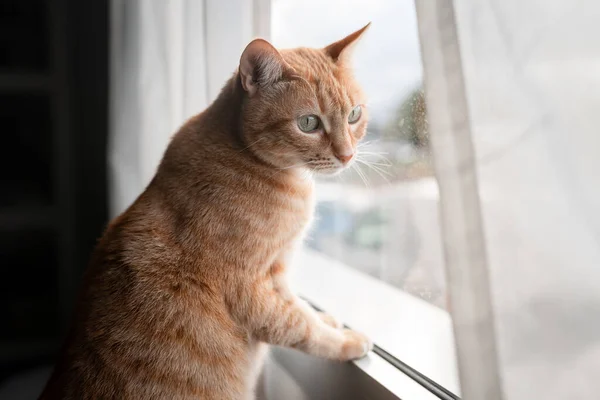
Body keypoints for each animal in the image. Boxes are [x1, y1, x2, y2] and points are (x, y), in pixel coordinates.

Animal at [41, 23, 370, 398]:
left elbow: (299, 307)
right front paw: (347, 341)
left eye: (354, 115)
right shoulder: (249, 290)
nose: (347, 155)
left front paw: (327, 319)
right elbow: (300, 327)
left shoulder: (279, 269)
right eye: (309, 123)